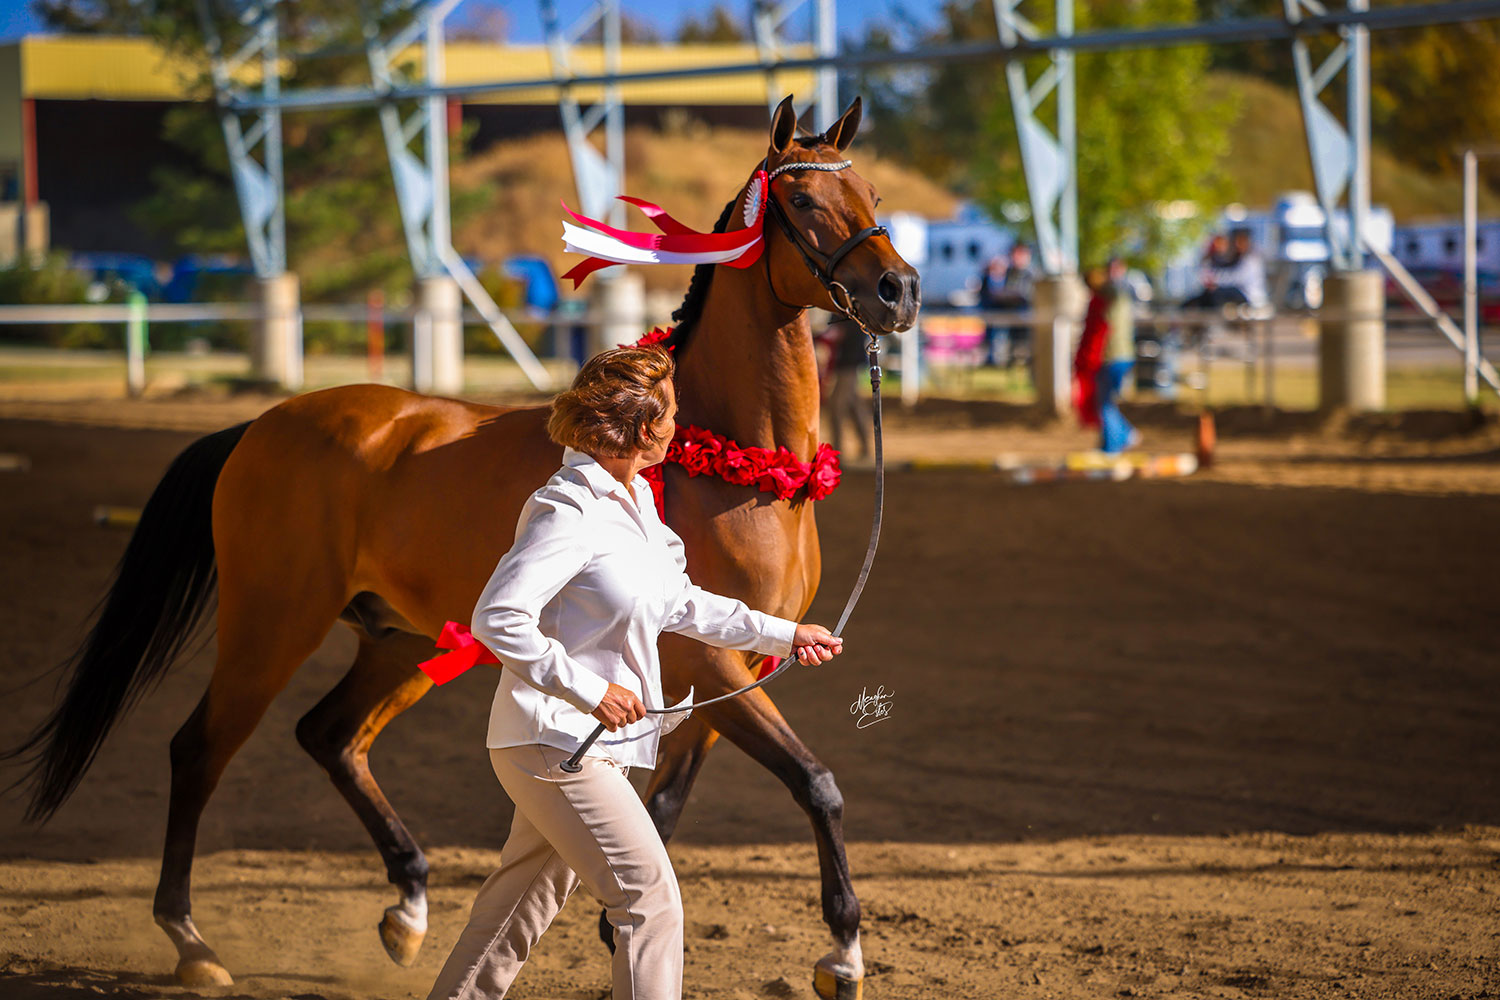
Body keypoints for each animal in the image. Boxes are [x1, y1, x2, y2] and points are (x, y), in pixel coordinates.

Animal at [5, 95, 919, 999]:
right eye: (801, 199)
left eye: (872, 193)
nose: (899, 290)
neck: (730, 458)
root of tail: (262, 425)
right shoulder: (707, 659)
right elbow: (816, 783)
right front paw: (842, 954)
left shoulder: (726, 671)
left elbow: (665, 808)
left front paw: (613, 924)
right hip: (270, 628)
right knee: (200, 750)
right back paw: (191, 940)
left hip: (400, 639)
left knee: (331, 736)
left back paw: (407, 907)